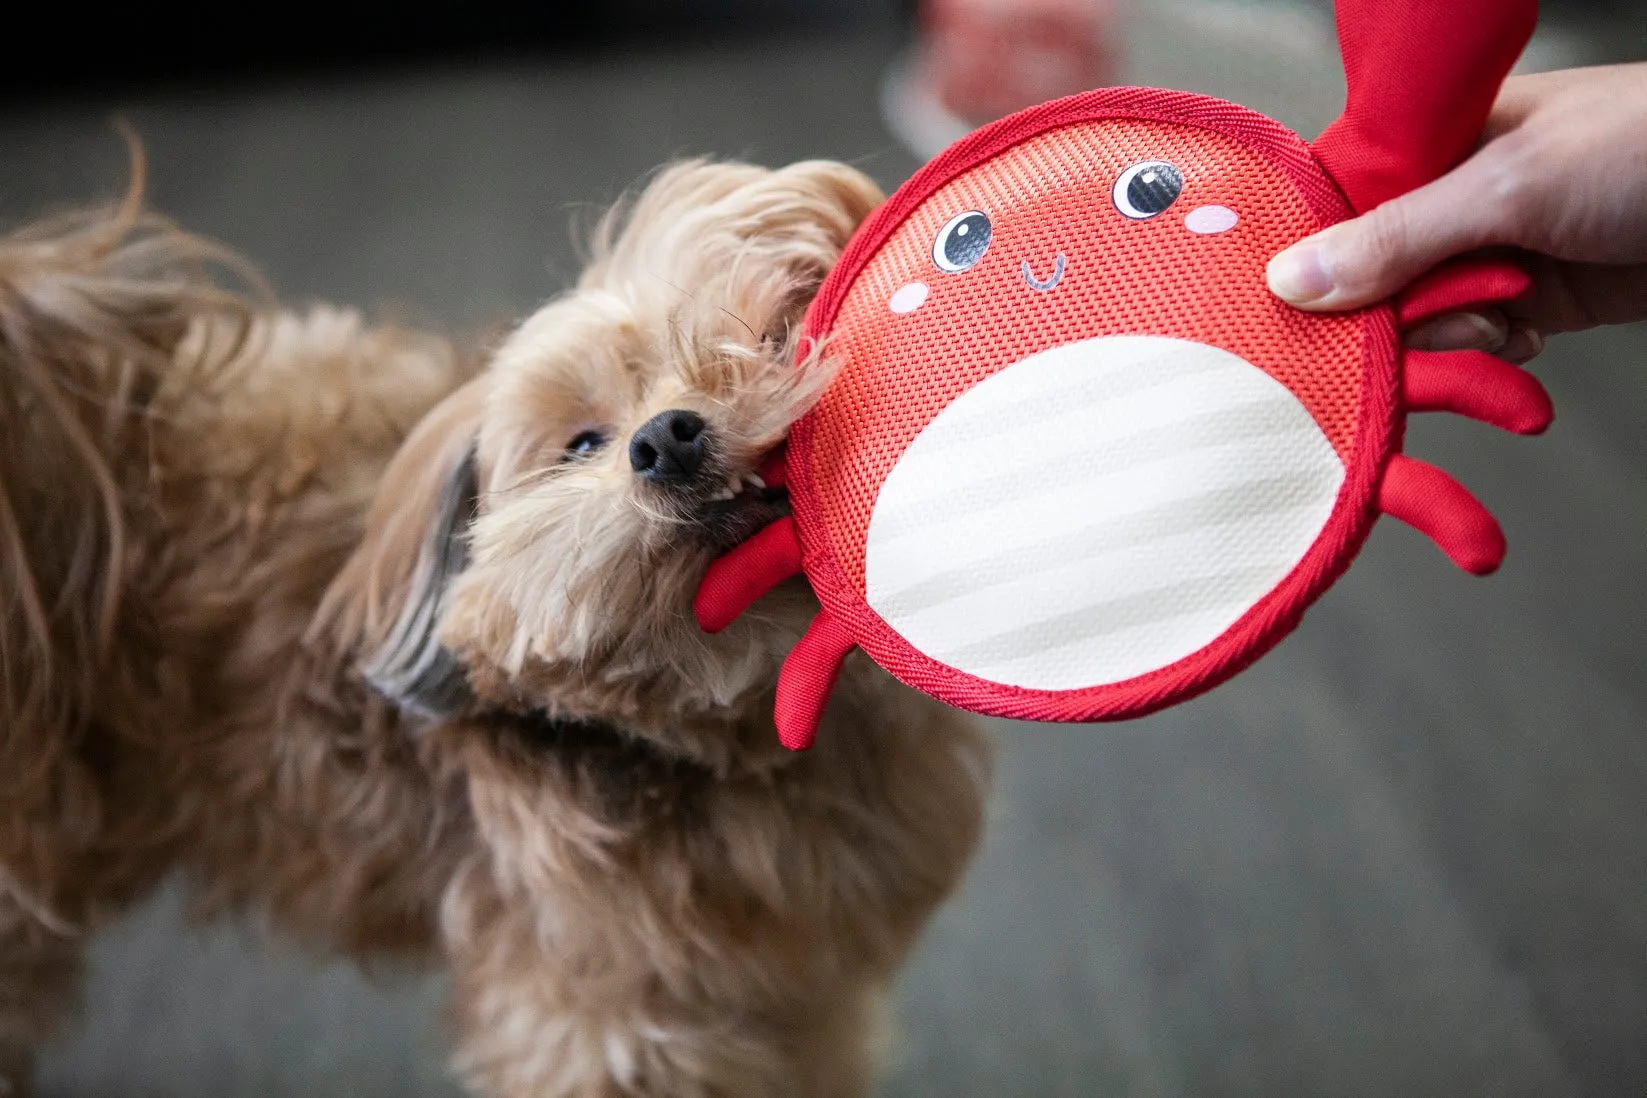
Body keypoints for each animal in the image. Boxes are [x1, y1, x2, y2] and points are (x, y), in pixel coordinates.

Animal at [0, 150, 988, 1093]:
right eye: (581, 444)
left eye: (746, 341)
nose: (665, 438)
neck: (731, 745)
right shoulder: (603, 1026)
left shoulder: (797, 998)